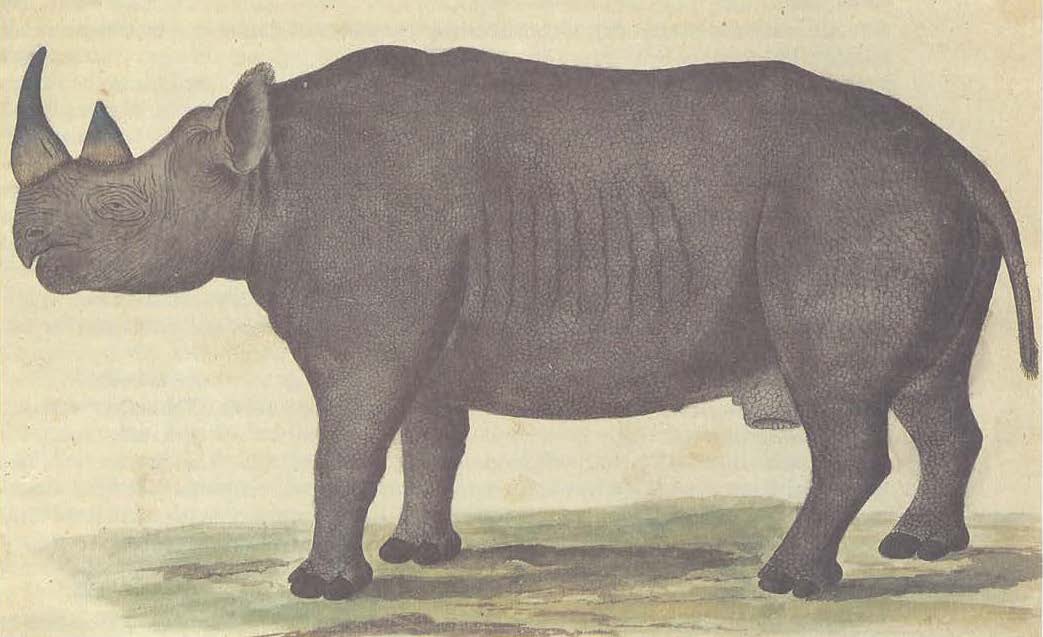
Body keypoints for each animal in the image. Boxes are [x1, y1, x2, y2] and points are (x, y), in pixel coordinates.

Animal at [11, 45, 1037, 600]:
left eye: (120, 213)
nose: (25, 241)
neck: (264, 175)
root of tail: (963, 157)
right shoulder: (420, 335)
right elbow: (428, 439)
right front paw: (418, 554)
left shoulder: (366, 330)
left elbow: (346, 448)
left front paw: (321, 585)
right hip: (912, 201)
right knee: (930, 390)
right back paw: (920, 548)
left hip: (856, 206)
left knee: (842, 401)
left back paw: (786, 582)